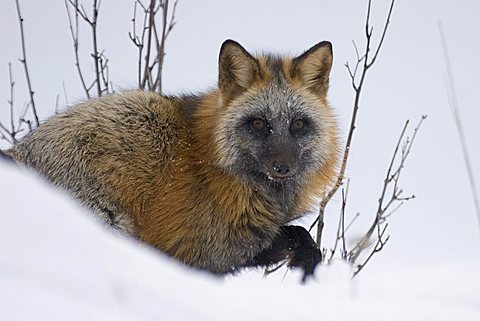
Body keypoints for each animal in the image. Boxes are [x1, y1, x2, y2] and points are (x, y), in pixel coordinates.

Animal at [5, 39, 340, 280]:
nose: (282, 167)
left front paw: (307, 266)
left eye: (298, 125)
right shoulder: (207, 252)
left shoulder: (244, 240)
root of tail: (17, 153)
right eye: (259, 124)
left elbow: (301, 236)